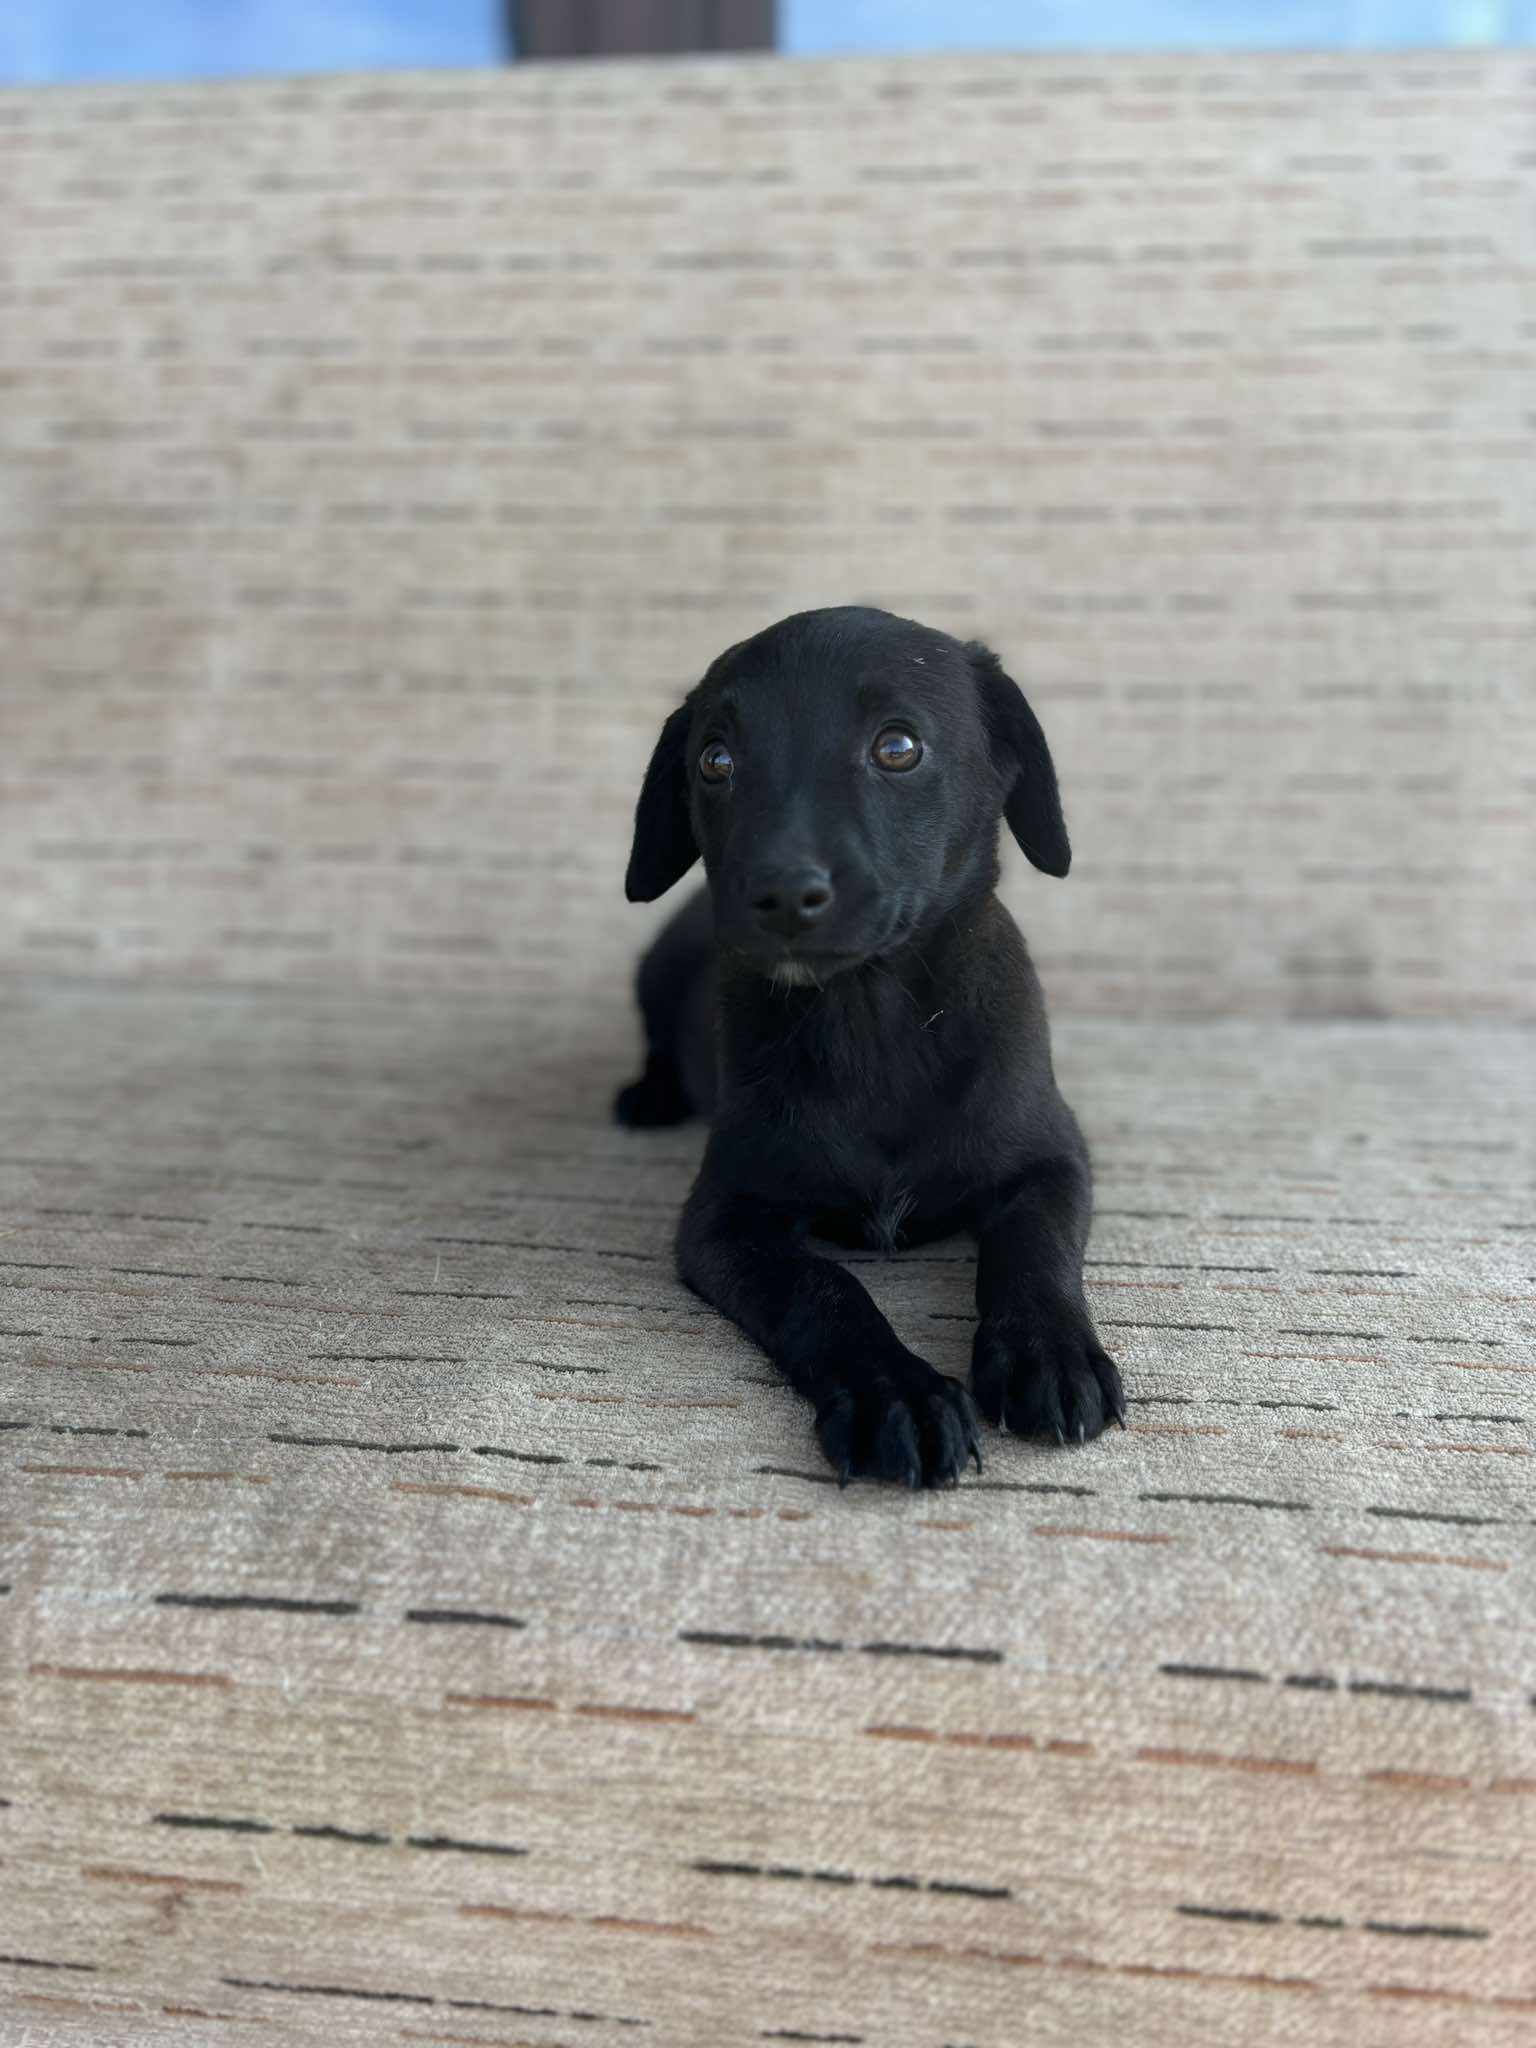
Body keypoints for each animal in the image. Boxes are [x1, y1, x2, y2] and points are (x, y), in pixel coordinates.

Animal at [615, 605, 1124, 1488]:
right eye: (715, 761)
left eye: (898, 747)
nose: (781, 891)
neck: (872, 1020)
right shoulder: (724, 1218)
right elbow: (823, 1288)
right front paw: (898, 1397)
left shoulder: (1054, 1158)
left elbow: (1033, 1251)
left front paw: (1049, 1356)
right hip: (658, 968)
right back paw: (648, 1096)